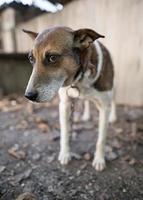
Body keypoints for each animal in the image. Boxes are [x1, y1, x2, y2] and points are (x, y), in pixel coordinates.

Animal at [23, 25, 116, 171]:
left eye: (52, 57)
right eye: (31, 59)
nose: (29, 96)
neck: (80, 78)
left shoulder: (104, 107)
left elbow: (101, 138)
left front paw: (99, 159)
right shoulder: (65, 105)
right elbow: (65, 133)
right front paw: (65, 154)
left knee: (114, 100)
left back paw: (113, 117)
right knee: (86, 102)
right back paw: (86, 115)